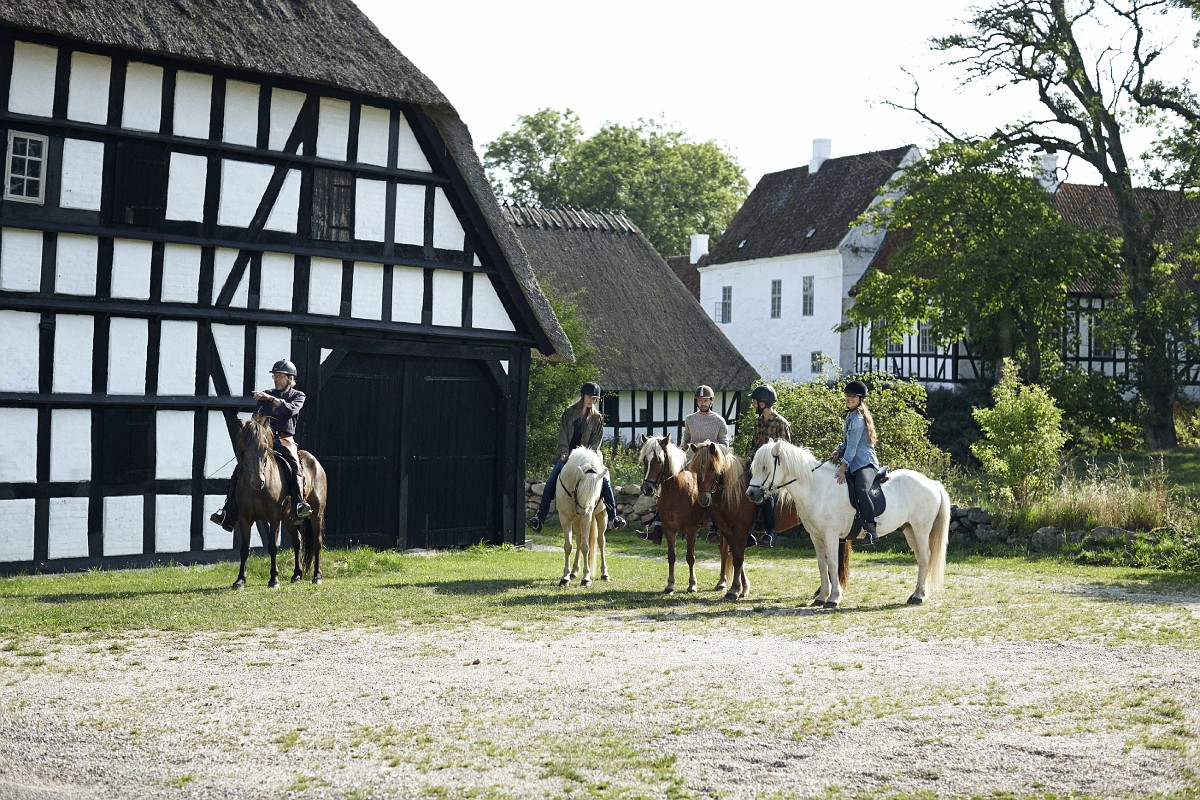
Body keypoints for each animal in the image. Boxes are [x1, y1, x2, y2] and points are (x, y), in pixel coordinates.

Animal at [230, 417, 328, 592]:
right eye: (245, 450)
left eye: (264, 449)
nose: (258, 482)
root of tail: (315, 462)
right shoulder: (244, 518)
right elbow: (244, 548)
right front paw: (240, 580)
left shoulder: (274, 518)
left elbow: (272, 546)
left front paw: (274, 579)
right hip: (290, 519)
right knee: (297, 541)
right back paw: (297, 575)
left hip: (317, 514)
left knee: (317, 542)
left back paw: (317, 576)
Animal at [554, 443, 609, 587]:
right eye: (580, 490)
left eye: (596, 493)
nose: (582, 511)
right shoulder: (565, 517)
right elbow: (568, 546)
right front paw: (565, 577)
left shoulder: (587, 518)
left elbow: (586, 547)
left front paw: (586, 578)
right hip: (576, 521)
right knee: (578, 541)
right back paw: (573, 572)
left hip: (601, 516)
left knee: (601, 542)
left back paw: (604, 574)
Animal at [686, 441, 854, 604]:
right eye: (695, 469)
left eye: (712, 467)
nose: (703, 499)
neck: (734, 492)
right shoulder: (728, 532)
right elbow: (736, 558)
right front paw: (742, 588)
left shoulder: (740, 531)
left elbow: (738, 559)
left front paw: (734, 590)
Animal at [748, 438, 945, 606]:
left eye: (765, 467)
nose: (751, 494)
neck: (818, 489)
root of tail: (932, 482)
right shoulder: (816, 536)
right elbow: (822, 564)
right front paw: (821, 597)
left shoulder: (831, 535)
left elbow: (833, 563)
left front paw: (833, 598)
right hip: (909, 530)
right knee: (920, 558)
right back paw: (916, 594)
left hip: (921, 529)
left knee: (925, 557)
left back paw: (918, 597)